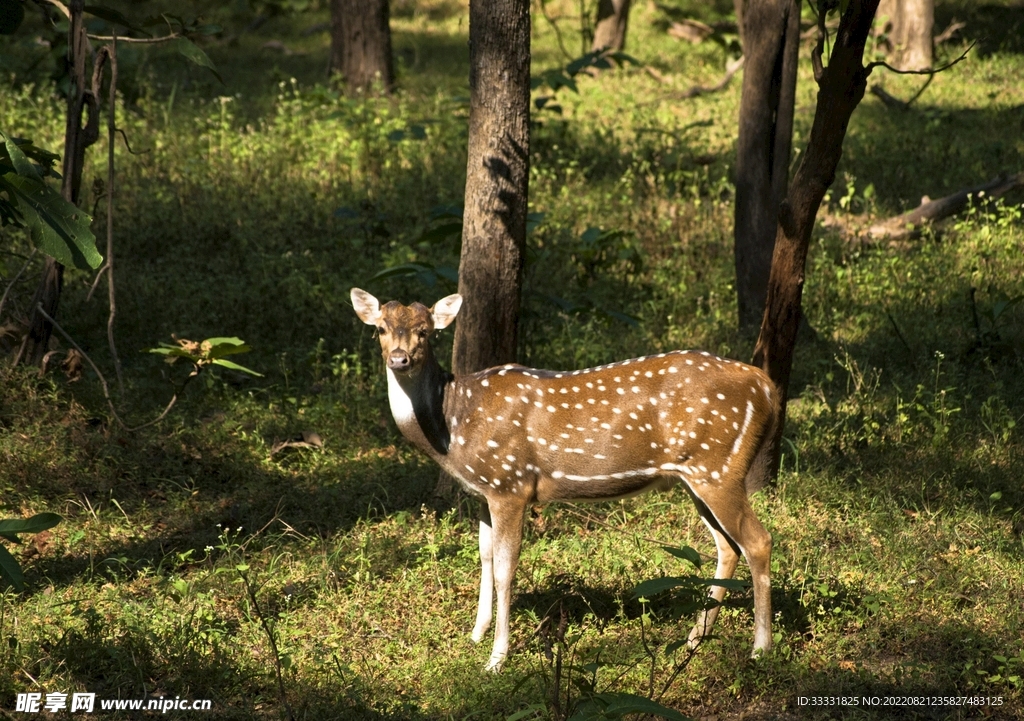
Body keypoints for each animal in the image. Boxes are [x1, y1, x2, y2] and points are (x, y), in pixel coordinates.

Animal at [350, 288, 781, 672]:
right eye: (380, 328)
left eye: (425, 331)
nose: (400, 358)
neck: (452, 426)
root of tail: (767, 387)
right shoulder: (484, 492)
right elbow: (485, 557)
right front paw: (475, 635)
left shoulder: (511, 484)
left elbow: (506, 569)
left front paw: (496, 659)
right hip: (698, 475)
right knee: (727, 547)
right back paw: (693, 640)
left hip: (719, 468)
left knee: (758, 541)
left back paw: (760, 649)